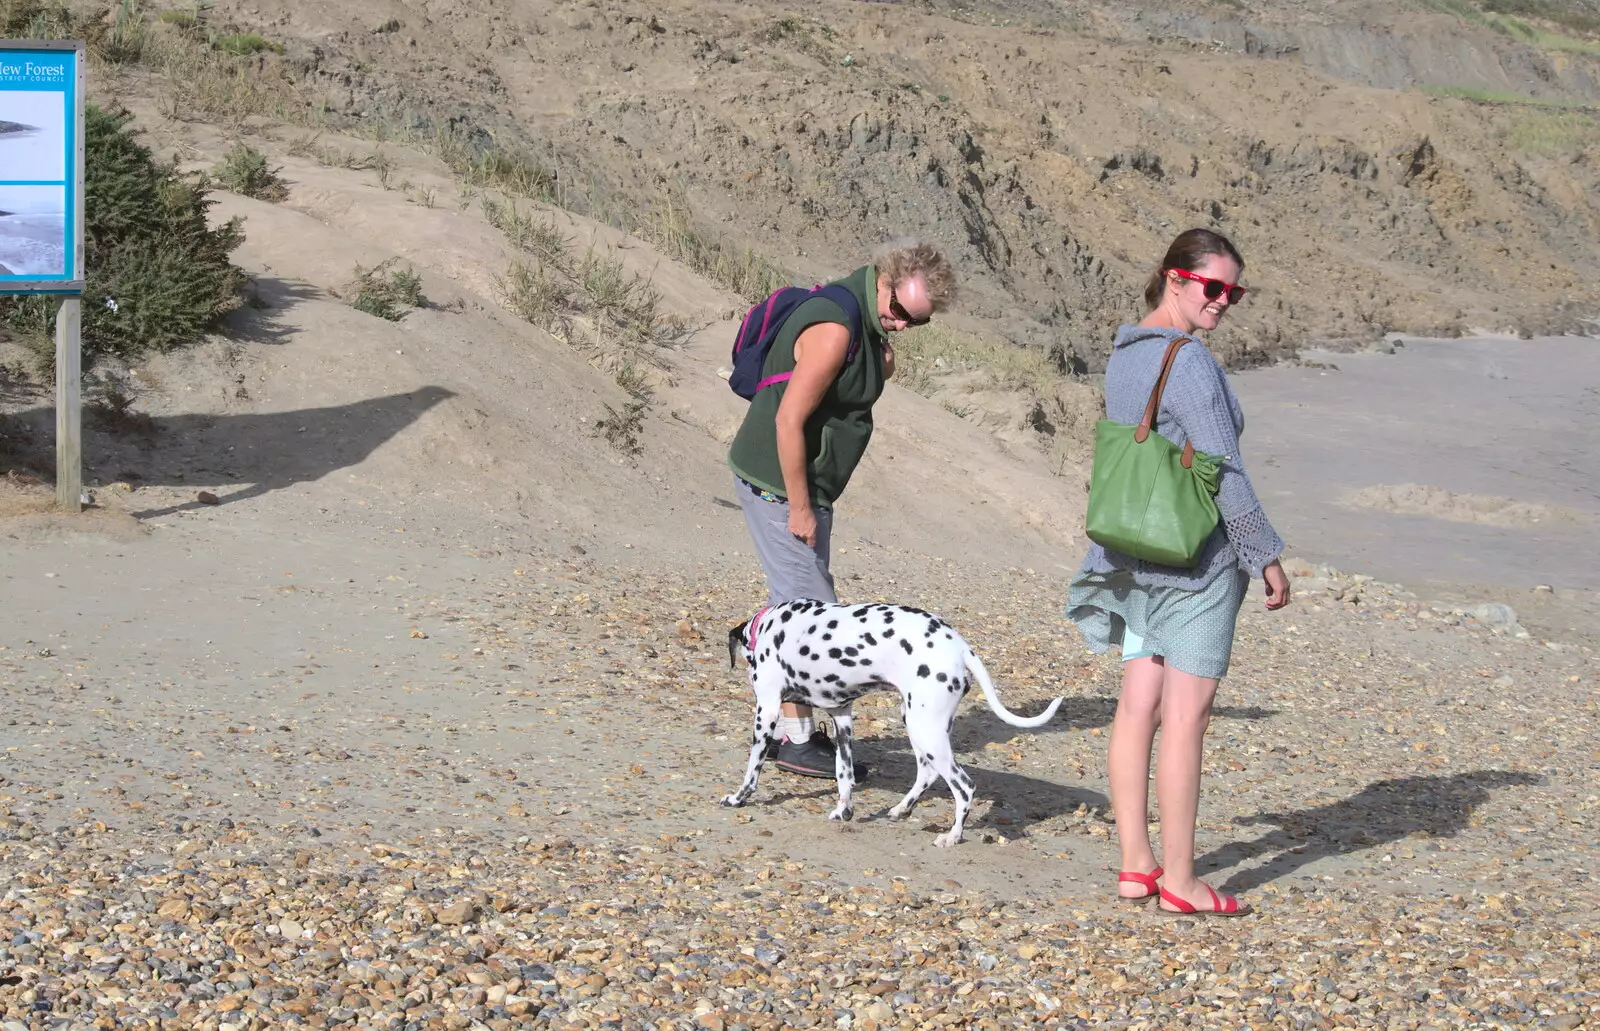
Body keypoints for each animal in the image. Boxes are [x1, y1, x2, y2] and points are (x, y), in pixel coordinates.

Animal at [726, 595, 1062, 845]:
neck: (768, 626)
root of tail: (959, 646)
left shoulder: (767, 710)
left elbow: (752, 769)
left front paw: (738, 798)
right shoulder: (842, 719)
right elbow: (844, 774)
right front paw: (843, 811)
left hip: (925, 731)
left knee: (964, 787)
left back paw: (952, 836)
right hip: (919, 726)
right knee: (927, 773)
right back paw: (902, 809)